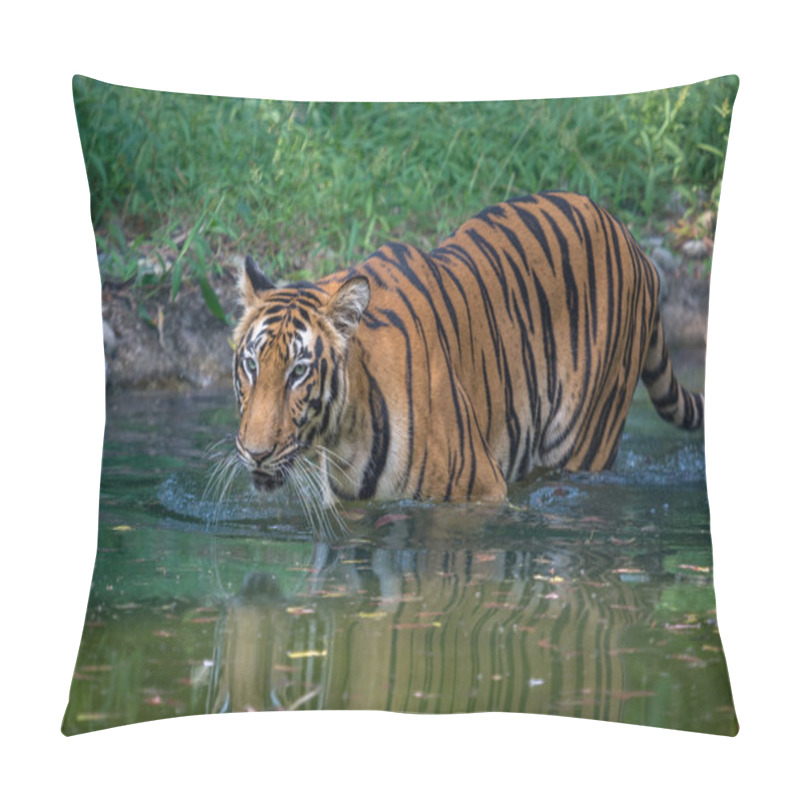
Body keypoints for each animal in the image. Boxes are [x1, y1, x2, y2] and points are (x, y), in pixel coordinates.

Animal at [230, 191, 700, 504]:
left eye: (298, 372)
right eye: (251, 365)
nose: (256, 453)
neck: (345, 437)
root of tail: (634, 243)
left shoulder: (481, 492)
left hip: (584, 443)